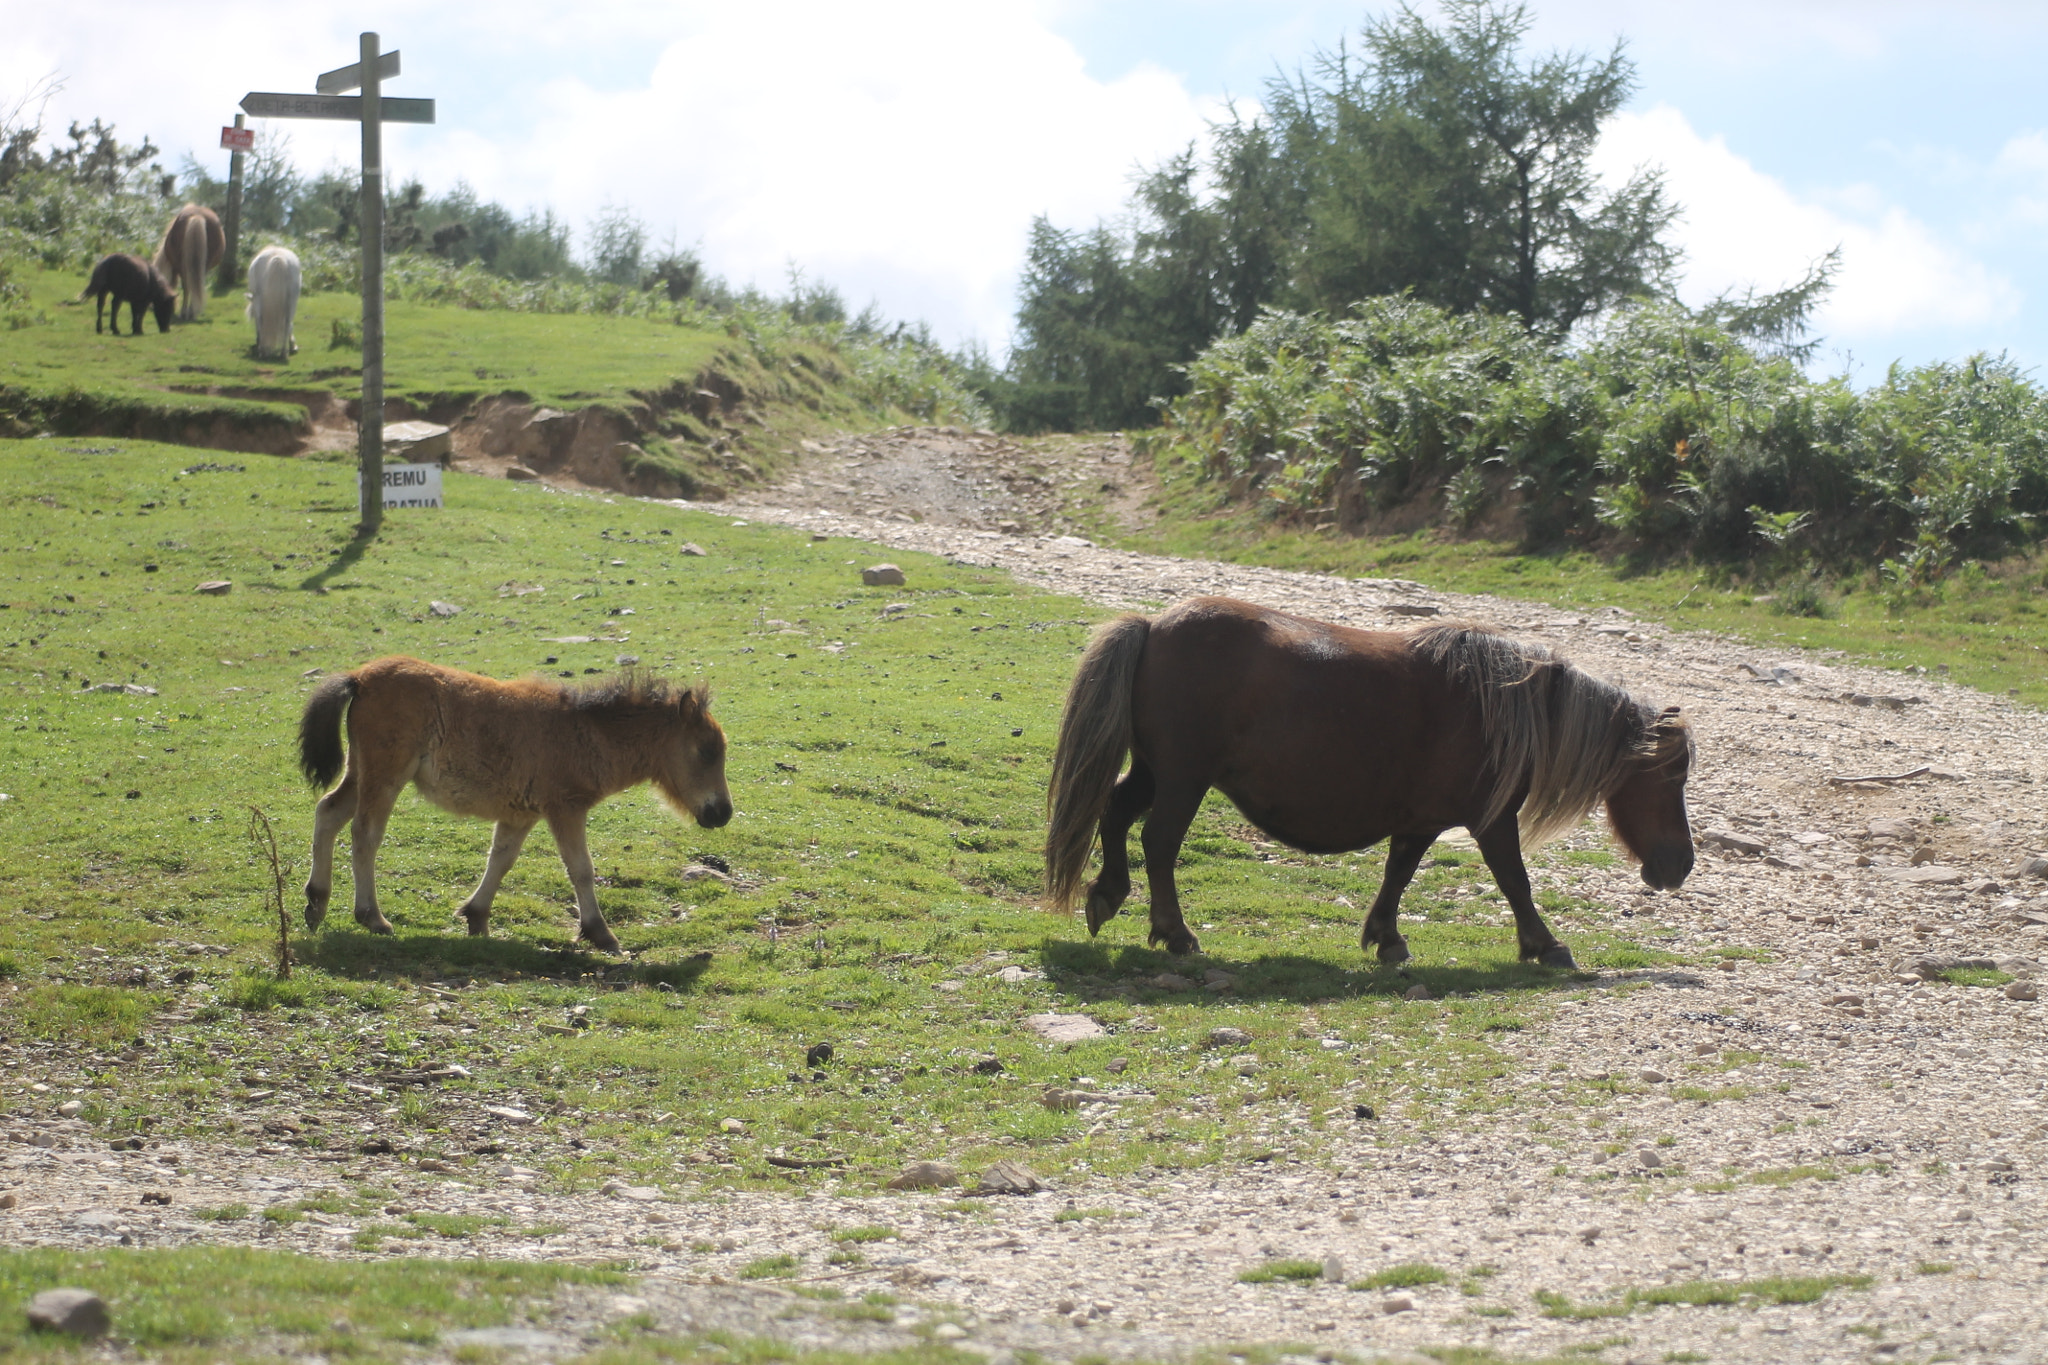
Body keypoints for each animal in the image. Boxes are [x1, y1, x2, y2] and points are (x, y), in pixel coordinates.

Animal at [296, 658, 729, 957]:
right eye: (707, 751)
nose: (722, 813)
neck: (586, 734)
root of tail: (359, 677)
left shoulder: (521, 814)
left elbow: (500, 860)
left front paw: (477, 917)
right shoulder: (566, 808)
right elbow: (581, 869)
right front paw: (600, 933)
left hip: (361, 771)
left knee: (328, 812)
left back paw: (316, 903)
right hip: (385, 775)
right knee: (365, 833)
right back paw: (372, 917)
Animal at [1040, 601, 1695, 970]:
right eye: (1671, 774)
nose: (1679, 866)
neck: (1501, 707)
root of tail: (1153, 626)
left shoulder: (1420, 821)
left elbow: (1397, 876)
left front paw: (1386, 940)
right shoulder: (1490, 822)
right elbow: (1516, 882)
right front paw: (1545, 945)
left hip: (1156, 772)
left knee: (1115, 815)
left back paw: (1107, 897)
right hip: (1182, 779)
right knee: (1158, 844)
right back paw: (1175, 934)